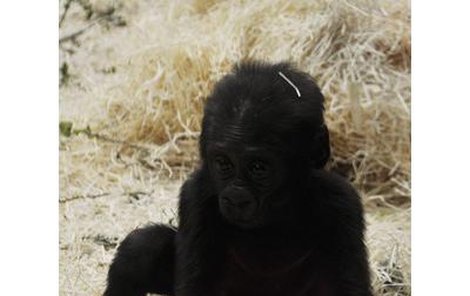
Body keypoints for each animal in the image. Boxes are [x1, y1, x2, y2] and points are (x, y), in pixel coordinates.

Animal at [104, 61, 372, 296]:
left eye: (258, 167)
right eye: (224, 163)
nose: (236, 197)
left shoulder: (341, 203)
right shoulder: (196, 196)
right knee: (141, 247)